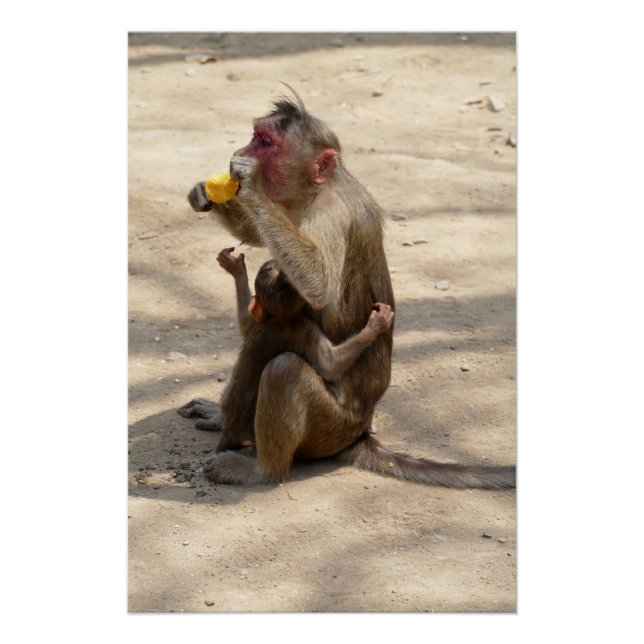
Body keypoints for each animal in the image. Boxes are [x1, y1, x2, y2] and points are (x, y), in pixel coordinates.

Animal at [180, 247, 395, 454]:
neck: (280, 319)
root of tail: (230, 435)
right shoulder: (306, 328)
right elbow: (330, 365)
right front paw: (375, 326)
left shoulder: (278, 325)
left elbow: (245, 322)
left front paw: (237, 269)